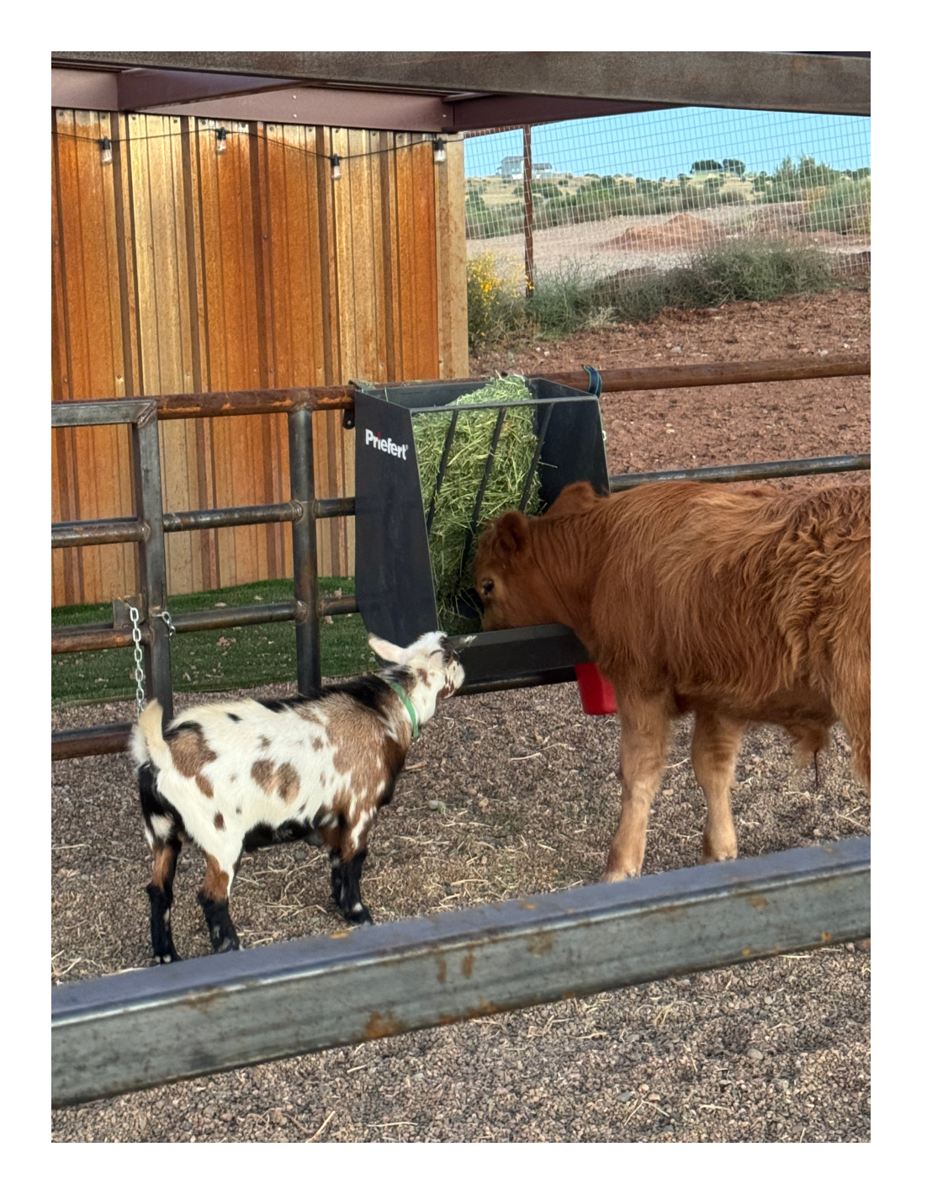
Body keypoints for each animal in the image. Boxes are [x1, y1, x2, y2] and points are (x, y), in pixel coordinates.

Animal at [130, 631, 464, 962]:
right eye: (448, 654)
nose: (462, 666)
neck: (383, 713)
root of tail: (159, 755)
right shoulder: (360, 806)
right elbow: (354, 859)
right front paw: (360, 914)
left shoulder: (333, 816)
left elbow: (337, 859)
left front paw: (340, 905)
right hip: (220, 839)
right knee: (212, 897)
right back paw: (231, 949)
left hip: (162, 834)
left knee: (159, 892)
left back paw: (167, 957)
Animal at [474, 480, 869, 882]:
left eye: (487, 585)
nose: (485, 630)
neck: (603, 553)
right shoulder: (720, 695)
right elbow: (712, 767)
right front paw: (719, 851)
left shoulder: (640, 685)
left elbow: (639, 772)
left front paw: (620, 866)